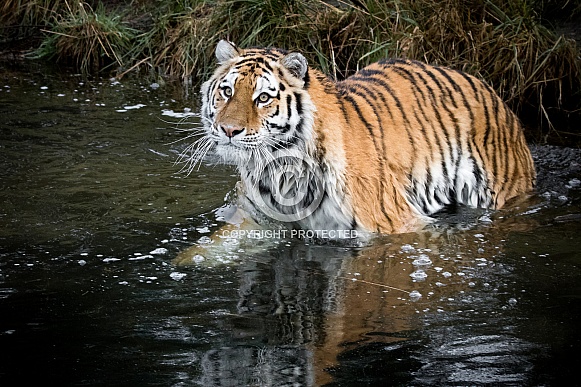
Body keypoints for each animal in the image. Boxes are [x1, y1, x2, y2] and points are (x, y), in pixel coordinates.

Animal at [189, 40, 536, 239]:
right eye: (226, 91)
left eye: (262, 98)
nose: (228, 130)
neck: (280, 167)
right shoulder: (255, 219)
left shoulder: (395, 225)